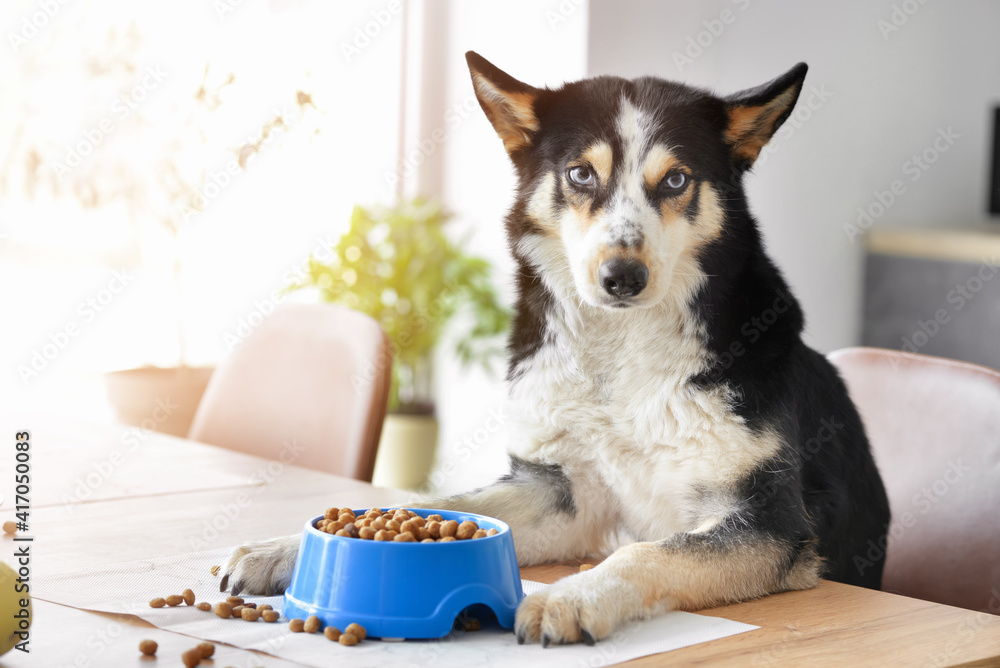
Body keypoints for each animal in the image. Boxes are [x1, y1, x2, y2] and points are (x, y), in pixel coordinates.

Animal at [221, 51, 892, 648]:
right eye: (580, 174)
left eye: (676, 179)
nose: (622, 277)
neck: (622, 357)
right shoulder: (563, 494)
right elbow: (439, 502)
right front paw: (286, 548)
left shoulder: (770, 523)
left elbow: (646, 554)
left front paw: (571, 597)